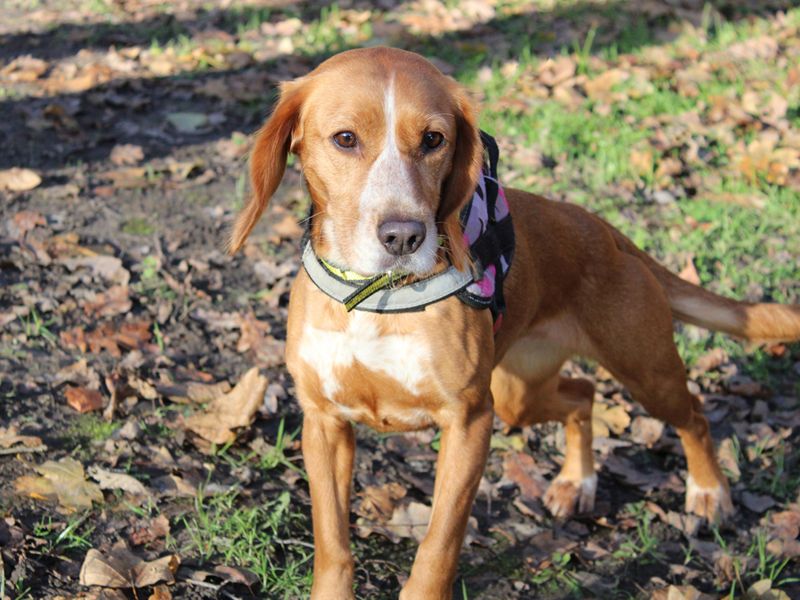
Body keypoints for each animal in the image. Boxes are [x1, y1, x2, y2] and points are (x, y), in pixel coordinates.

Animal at [228, 48, 800, 600]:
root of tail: (604, 230)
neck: (378, 299)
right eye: (345, 139)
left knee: (694, 415)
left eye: (434, 139)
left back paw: (708, 492)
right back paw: (576, 482)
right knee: (584, 394)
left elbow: (438, 545)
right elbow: (333, 542)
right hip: (519, 396)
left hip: (644, 373)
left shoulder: (470, 423)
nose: (404, 236)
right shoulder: (324, 424)